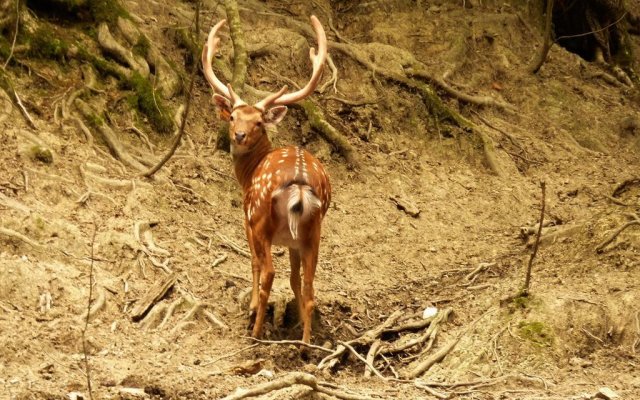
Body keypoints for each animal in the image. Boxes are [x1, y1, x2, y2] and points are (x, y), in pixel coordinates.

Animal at [201, 16, 332, 344]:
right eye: (233, 116)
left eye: (259, 122)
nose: (239, 135)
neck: (248, 174)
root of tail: (299, 184)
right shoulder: (294, 242)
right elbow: (296, 281)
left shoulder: (247, 220)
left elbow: (254, 263)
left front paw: (250, 308)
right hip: (313, 231)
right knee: (310, 285)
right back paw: (305, 344)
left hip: (262, 220)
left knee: (269, 272)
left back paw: (256, 331)